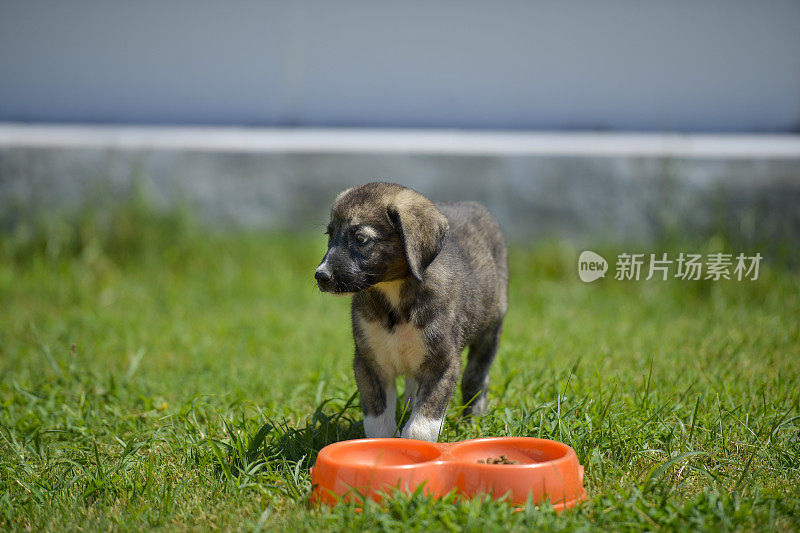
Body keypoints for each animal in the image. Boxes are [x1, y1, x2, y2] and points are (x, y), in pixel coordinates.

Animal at [314, 183, 506, 440]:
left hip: (489, 332)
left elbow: (421, 426)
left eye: (361, 238)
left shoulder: (443, 364)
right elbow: (378, 423)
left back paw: (472, 421)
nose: (321, 276)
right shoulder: (369, 362)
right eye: (330, 235)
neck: (394, 295)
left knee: (476, 379)